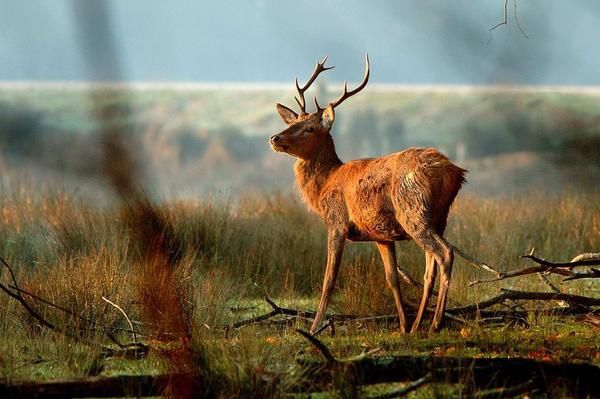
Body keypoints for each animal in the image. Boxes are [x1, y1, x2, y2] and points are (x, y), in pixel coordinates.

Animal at [270, 54, 466, 334]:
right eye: (293, 123)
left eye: (309, 128)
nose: (275, 137)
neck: (325, 184)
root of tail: (452, 171)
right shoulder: (381, 235)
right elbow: (392, 278)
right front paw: (403, 325)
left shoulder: (337, 221)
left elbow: (329, 278)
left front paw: (314, 328)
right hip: (438, 217)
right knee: (431, 266)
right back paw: (418, 324)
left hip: (413, 210)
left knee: (445, 253)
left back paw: (435, 323)